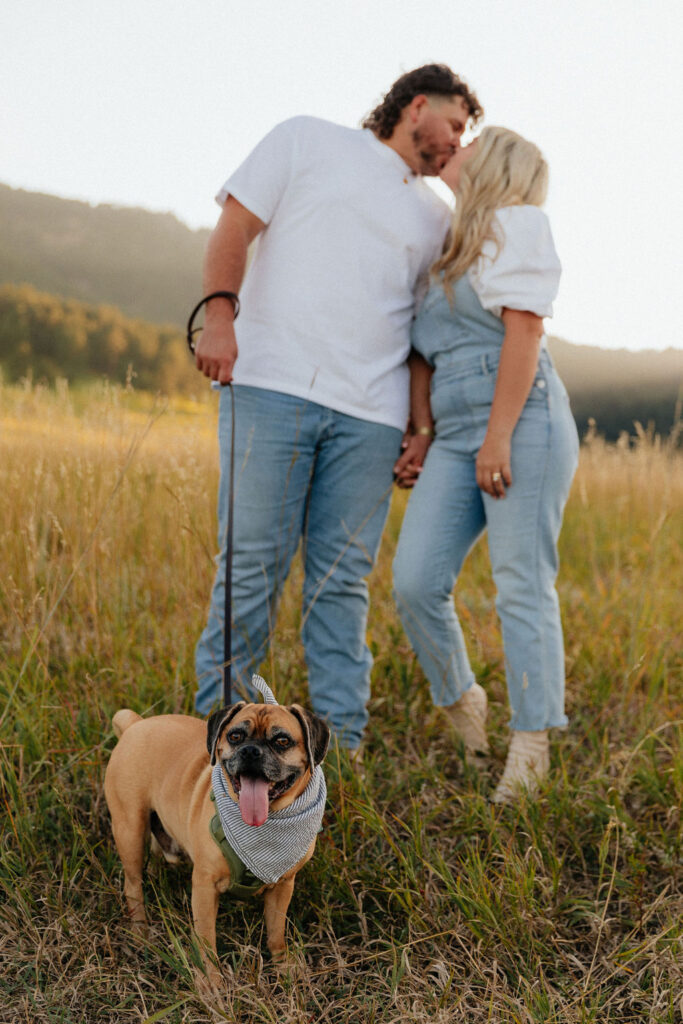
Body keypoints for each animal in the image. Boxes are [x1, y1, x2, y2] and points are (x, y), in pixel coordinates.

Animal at [104, 675, 331, 987]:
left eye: (282, 741)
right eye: (235, 736)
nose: (250, 751)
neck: (265, 825)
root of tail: (135, 725)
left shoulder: (283, 885)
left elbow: (276, 931)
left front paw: (283, 965)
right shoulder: (204, 886)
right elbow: (206, 940)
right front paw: (210, 981)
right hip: (130, 830)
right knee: (133, 885)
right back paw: (141, 932)